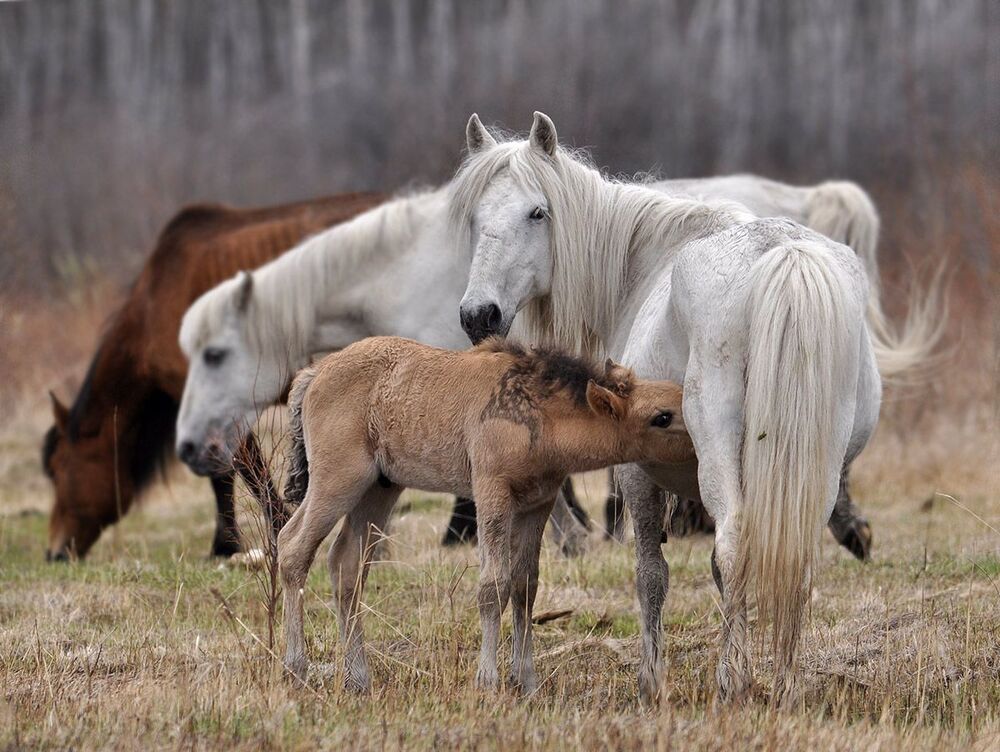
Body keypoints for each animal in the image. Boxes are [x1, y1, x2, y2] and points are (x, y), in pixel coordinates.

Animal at [276, 336, 695, 694]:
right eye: (661, 417)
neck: (539, 413)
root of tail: (314, 373)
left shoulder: (537, 505)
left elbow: (525, 585)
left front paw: (525, 680)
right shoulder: (492, 492)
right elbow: (493, 587)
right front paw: (488, 681)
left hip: (379, 490)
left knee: (345, 563)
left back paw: (358, 678)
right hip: (337, 481)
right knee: (293, 547)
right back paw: (295, 669)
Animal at [451, 112, 941, 704]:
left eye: (537, 212)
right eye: (475, 217)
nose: (479, 314)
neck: (643, 270)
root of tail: (783, 255)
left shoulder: (637, 475)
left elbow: (652, 575)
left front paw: (651, 680)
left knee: (734, 546)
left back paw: (733, 681)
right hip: (819, 468)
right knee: (793, 560)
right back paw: (786, 684)